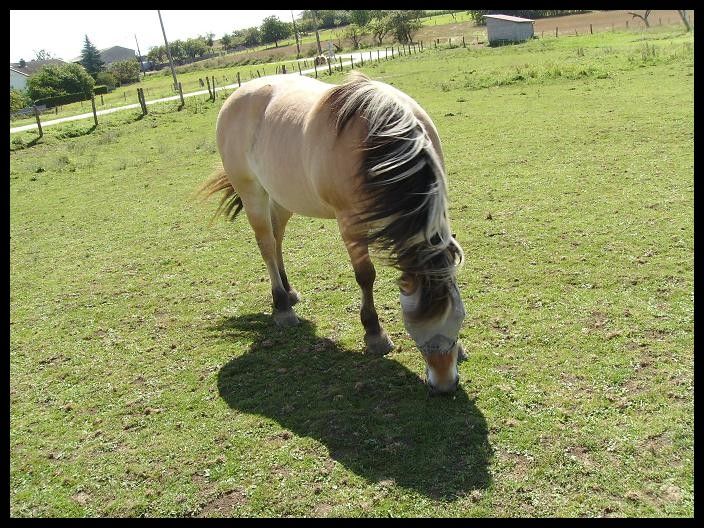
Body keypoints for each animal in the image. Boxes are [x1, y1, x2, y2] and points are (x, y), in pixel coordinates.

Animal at [198, 72, 467, 393]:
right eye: (415, 323)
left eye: (458, 317)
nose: (444, 384)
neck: (381, 142)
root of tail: (235, 97)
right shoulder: (349, 224)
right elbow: (366, 276)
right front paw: (374, 334)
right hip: (253, 194)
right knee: (266, 245)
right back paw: (282, 306)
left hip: (284, 197)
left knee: (277, 239)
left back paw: (289, 292)